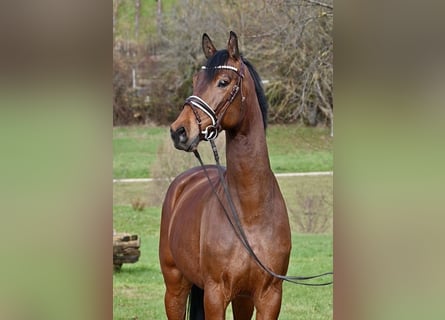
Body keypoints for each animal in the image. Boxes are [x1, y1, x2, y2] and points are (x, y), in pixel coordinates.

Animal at [160, 30, 292, 320]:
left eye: (223, 81)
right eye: (196, 81)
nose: (179, 131)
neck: (250, 213)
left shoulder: (268, 297)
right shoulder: (215, 294)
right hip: (175, 287)